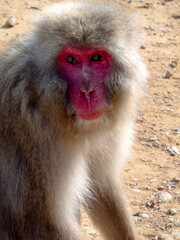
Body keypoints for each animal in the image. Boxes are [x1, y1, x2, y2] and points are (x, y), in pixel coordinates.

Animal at [0, 0, 147, 240]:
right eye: (71, 60)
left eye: (96, 58)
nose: (87, 92)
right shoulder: (35, 138)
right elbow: (41, 222)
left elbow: (100, 184)